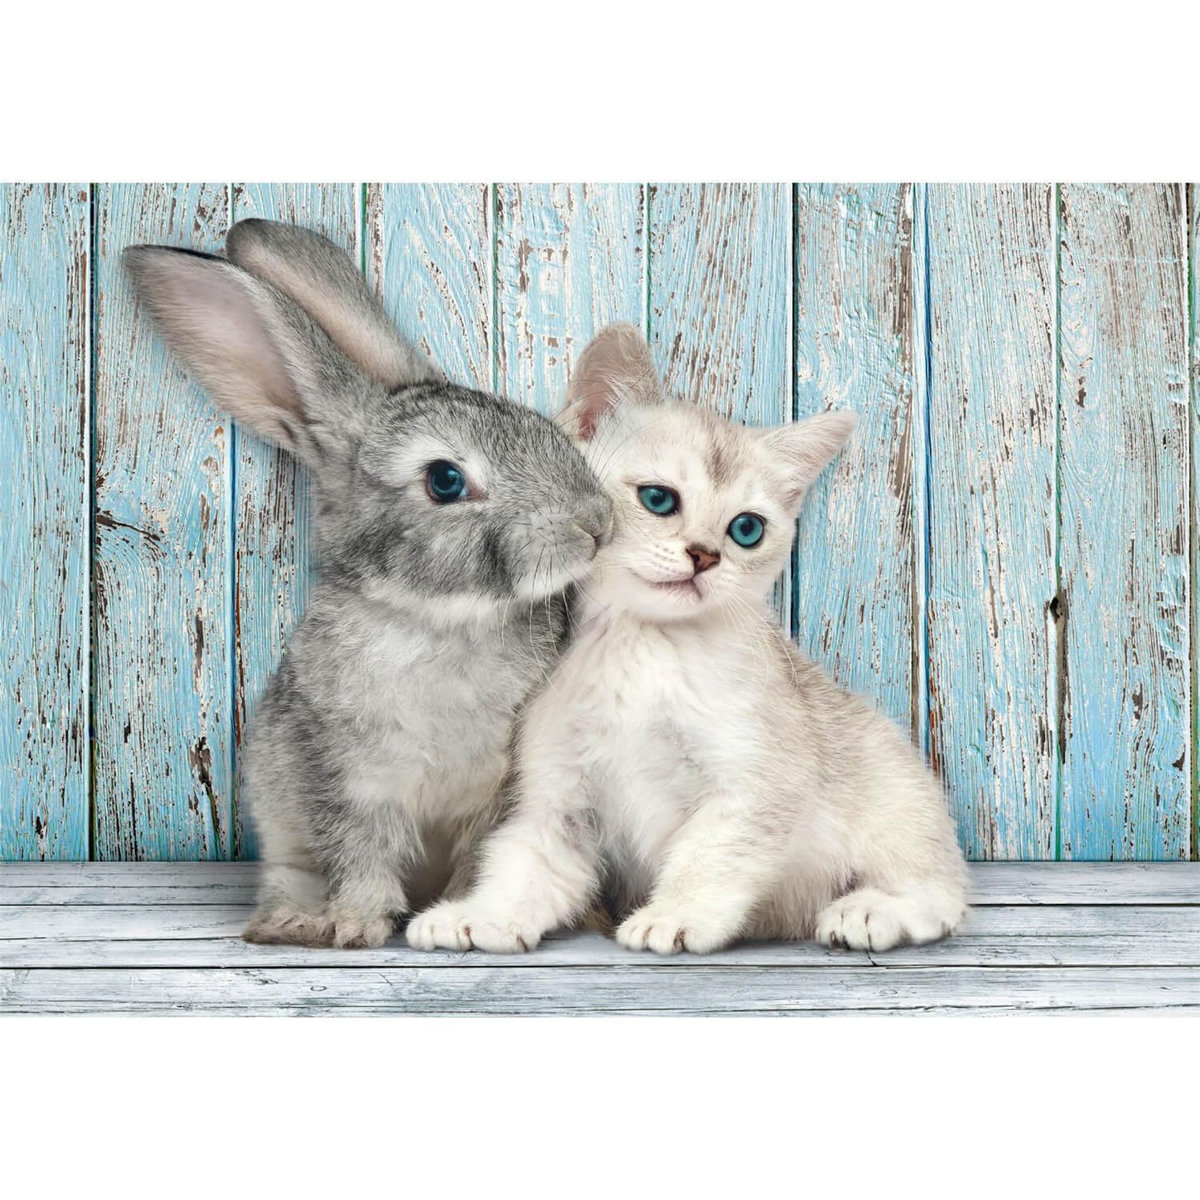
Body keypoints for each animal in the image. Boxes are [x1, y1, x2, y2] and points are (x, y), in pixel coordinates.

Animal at [123, 219, 613, 948]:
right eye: (445, 481)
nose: (596, 523)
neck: (436, 620)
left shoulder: (497, 791)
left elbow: (478, 857)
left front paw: (458, 917)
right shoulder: (342, 778)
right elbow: (358, 855)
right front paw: (355, 926)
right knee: (289, 875)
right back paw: (285, 922)